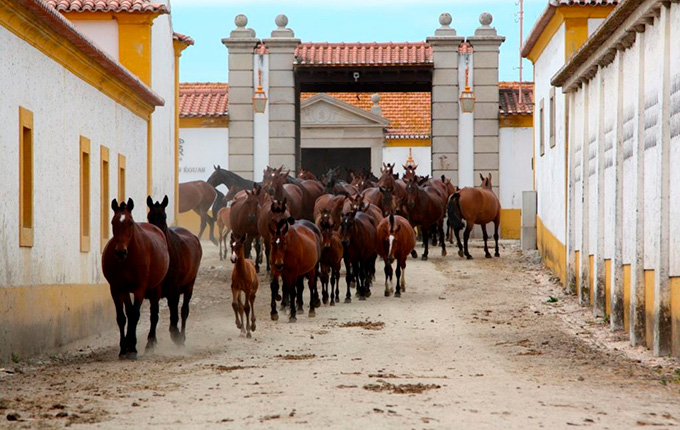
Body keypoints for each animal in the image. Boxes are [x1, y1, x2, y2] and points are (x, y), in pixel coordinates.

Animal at [101, 199, 169, 360]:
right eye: (113, 222)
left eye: (130, 223)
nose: (120, 252)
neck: (128, 260)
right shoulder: (118, 288)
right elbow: (122, 317)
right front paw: (123, 348)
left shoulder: (140, 288)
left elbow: (135, 315)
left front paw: (132, 348)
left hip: (156, 287)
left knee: (153, 313)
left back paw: (150, 343)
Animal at [146, 197, 202, 348]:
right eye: (149, 216)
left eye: (164, 217)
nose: (156, 235)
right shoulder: (155, 289)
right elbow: (154, 314)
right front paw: (151, 342)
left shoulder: (174, 290)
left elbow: (175, 313)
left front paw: (176, 335)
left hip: (190, 284)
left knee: (184, 310)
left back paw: (182, 336)